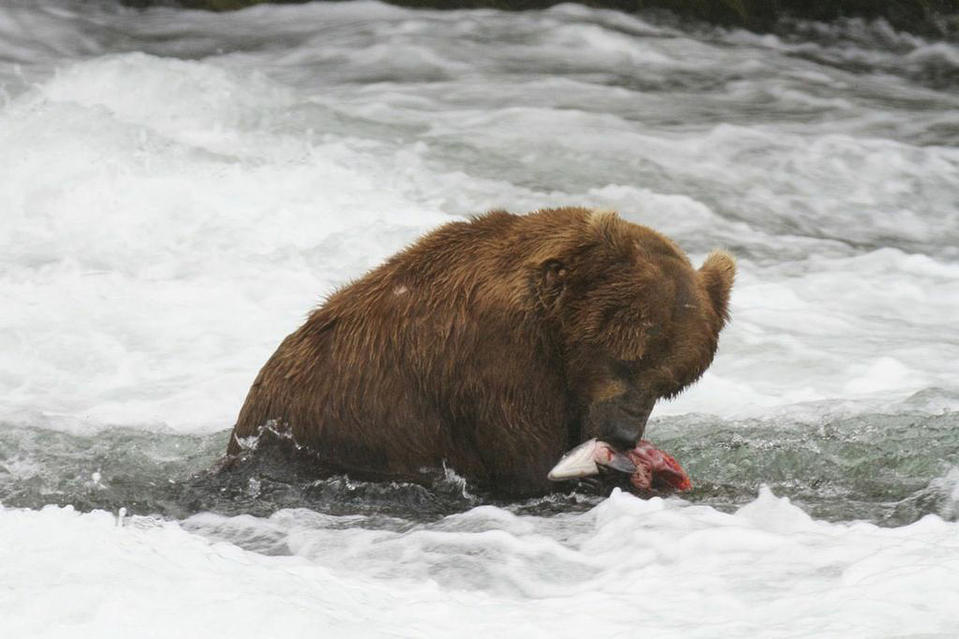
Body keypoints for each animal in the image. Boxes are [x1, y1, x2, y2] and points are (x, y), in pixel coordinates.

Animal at [227, 208, 736, 498]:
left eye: (670, 384)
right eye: (626, 359)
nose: (624, 434)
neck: (555, 331)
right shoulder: (494, 363)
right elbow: (529, 469)